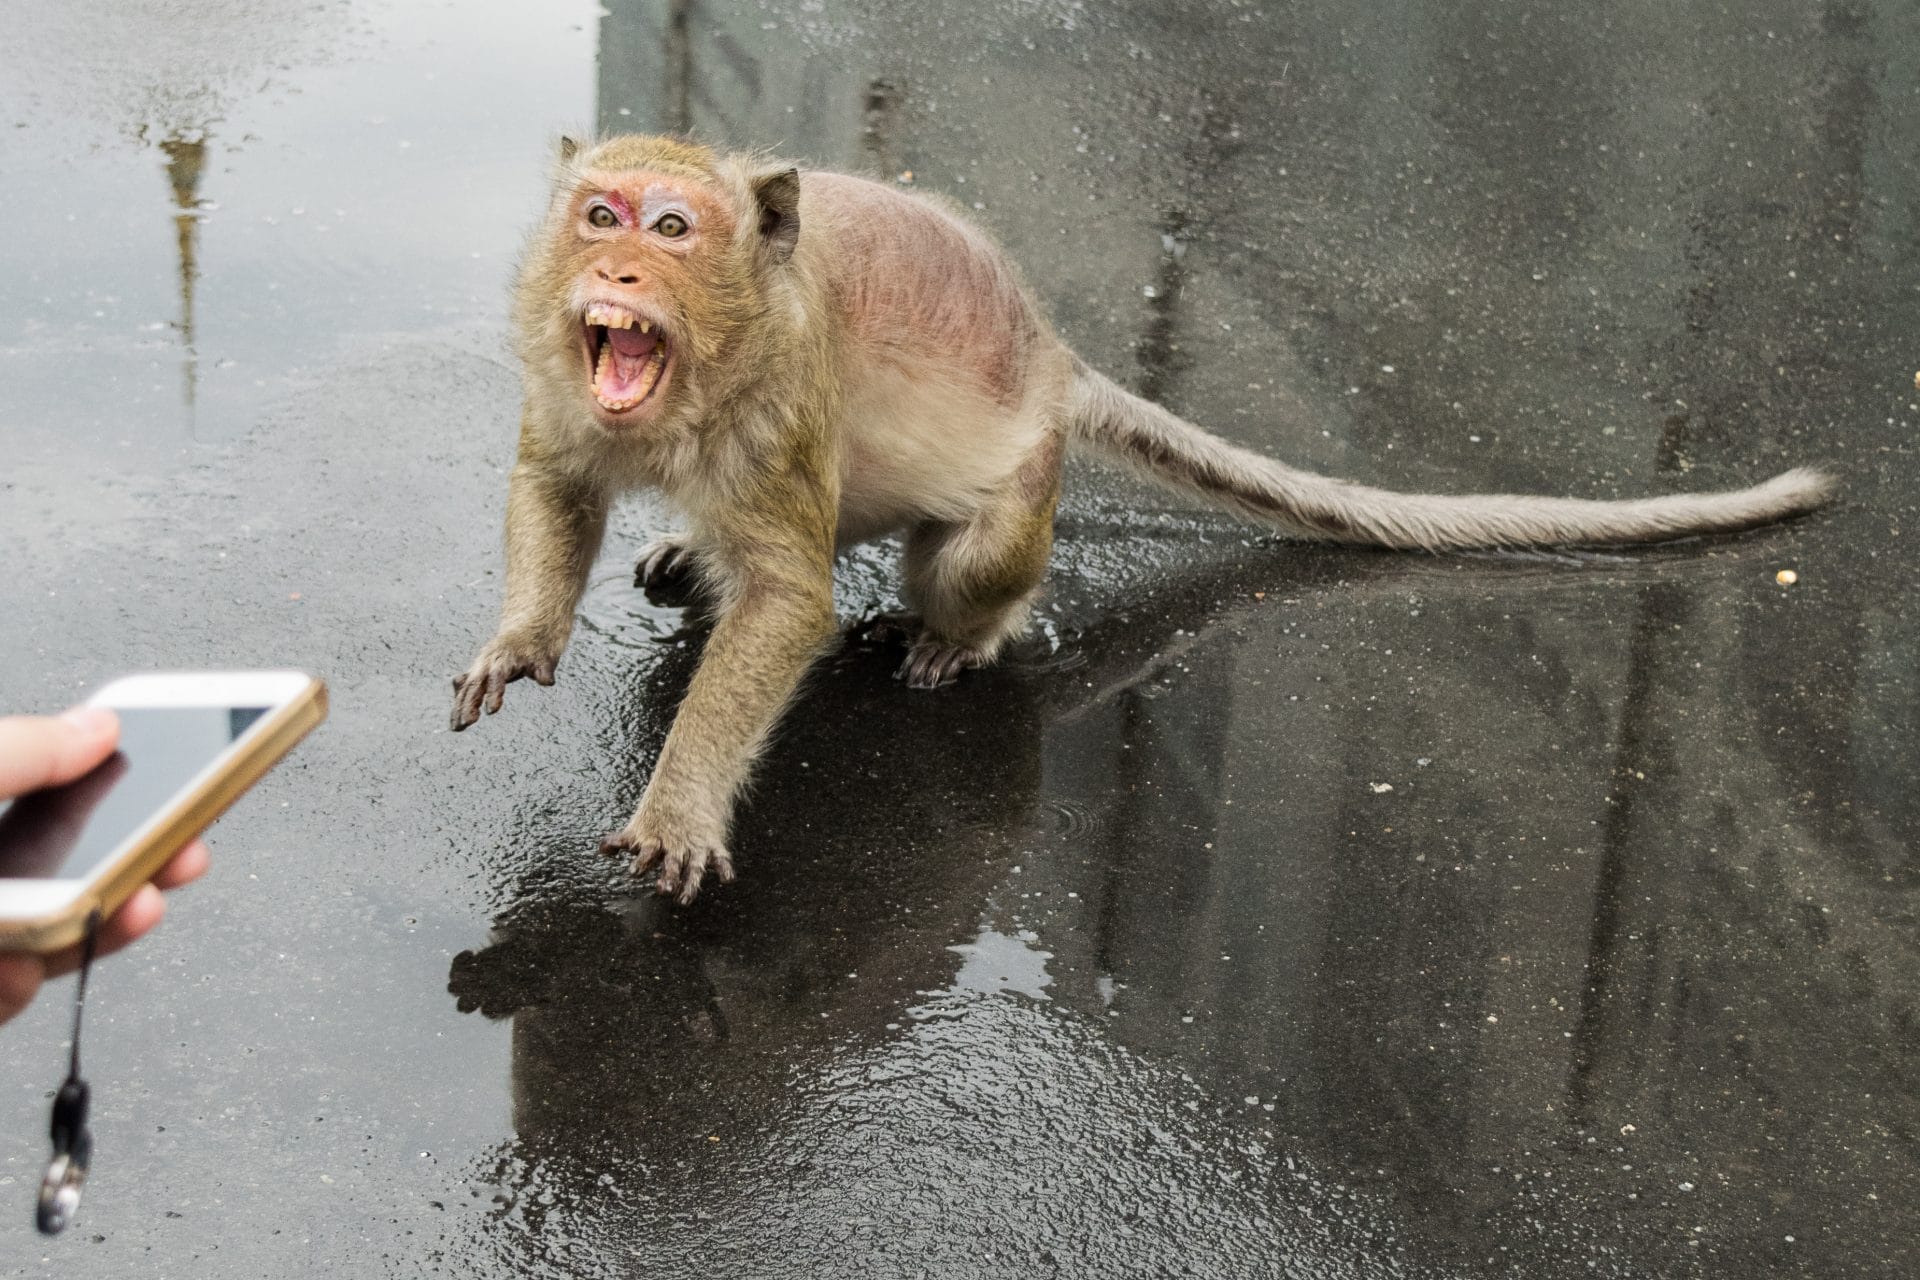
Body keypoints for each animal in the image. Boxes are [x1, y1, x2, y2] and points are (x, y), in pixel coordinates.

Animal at [450, 134, 1835, 903]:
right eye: (598, 212)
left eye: (671, 226)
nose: (615, 270)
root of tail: (1056, 357)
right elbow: (557, 483)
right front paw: (522, 635)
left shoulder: (791, 391)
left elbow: (790, 606)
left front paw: (680, 808)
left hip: (1022, 482)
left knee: (967, 562)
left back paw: (966, 631)